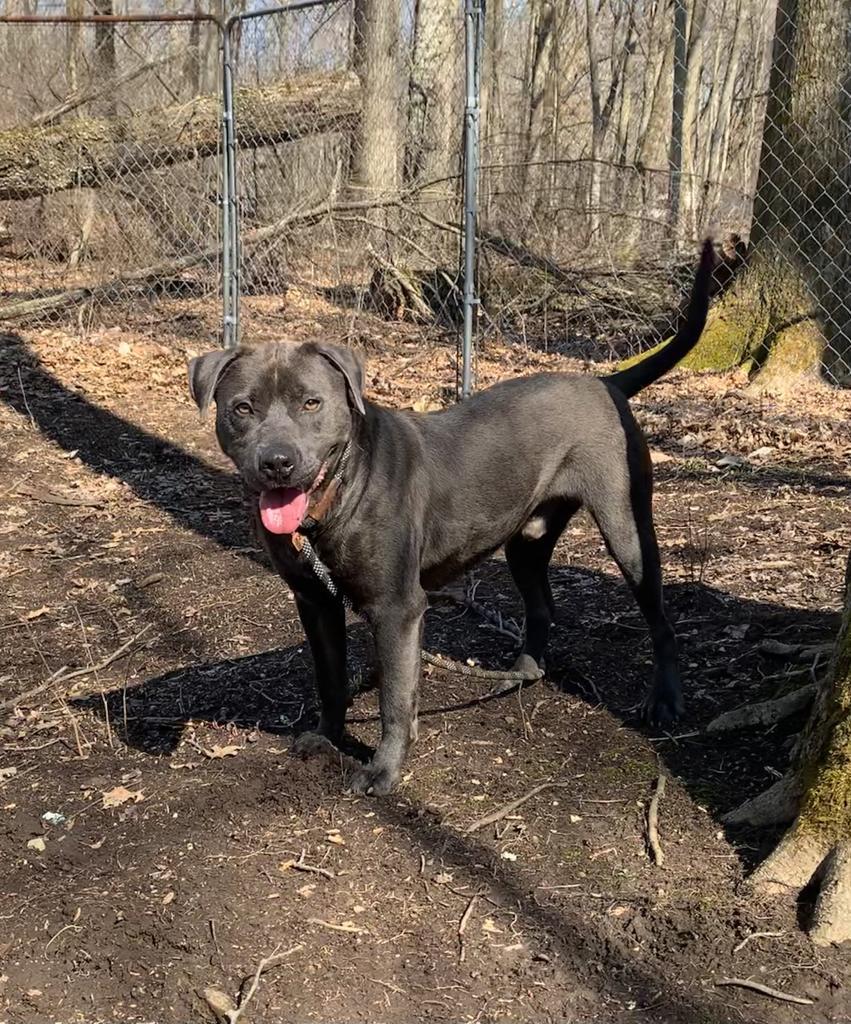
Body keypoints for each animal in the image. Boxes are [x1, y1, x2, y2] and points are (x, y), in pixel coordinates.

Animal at [191, 243, 712, 794]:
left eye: (312, 402)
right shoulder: (316, 602)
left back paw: (664, 700)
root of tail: (605, 381)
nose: (277, 462)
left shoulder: (396, 608)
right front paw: (326, 737)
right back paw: (522, 672)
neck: (336, 499)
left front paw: (383, 769)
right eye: (242, 408)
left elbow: (394, 698)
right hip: (526, 540)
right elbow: (330, 678)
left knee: (660, 620)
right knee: (542, 605)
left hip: (626, 528)